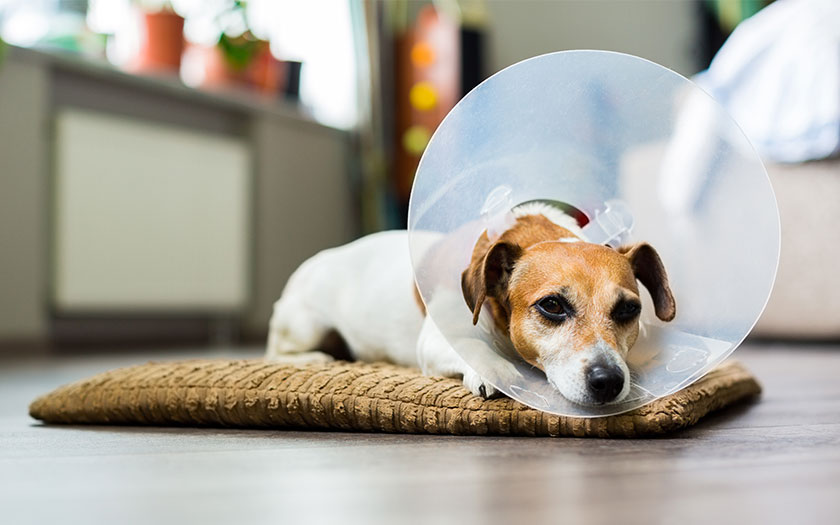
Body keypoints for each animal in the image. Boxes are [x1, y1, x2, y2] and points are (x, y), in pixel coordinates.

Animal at [270, 203, 676, 408]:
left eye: (628, 310)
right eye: (552, 305)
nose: (609, 381)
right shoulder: (437, 337)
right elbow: (470, 346)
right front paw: (494, 370)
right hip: (305, 324)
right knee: (279, 351)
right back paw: (318, 358)